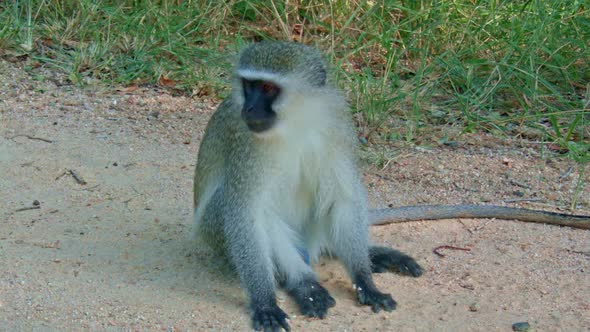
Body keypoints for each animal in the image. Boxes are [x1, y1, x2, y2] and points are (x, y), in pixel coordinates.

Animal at [195, 42, 590, 332]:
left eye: (266, 88)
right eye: (247, 86)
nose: (249, 109)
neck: (295, 122)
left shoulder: (337, 125)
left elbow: (343, 199)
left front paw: (364, 279)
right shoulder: (245, 147)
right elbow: (246, 215)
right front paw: (265, 300)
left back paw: (369, 255)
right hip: (217, 236)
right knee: (241, 211)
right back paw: (303, 282)